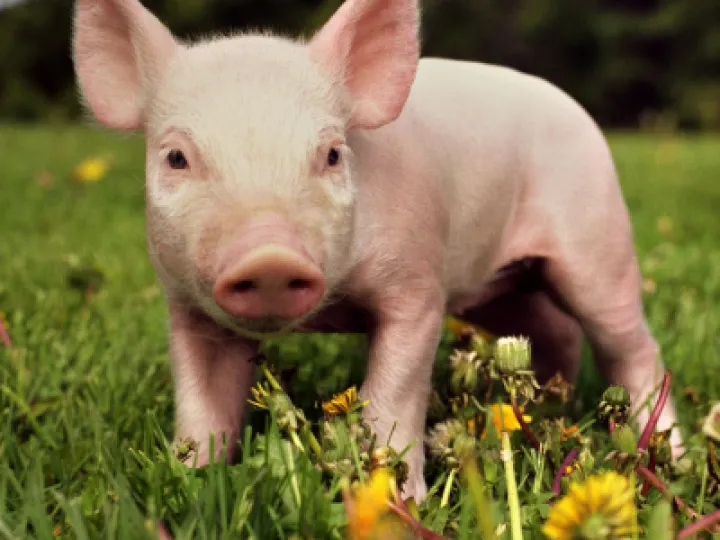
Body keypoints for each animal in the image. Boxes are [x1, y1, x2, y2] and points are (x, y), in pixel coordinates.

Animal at [72, 0, 682, 501]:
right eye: (176, 157)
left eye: (332, 154)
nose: (269, 257)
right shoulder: (187, 307)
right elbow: (202, 404)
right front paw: (193, 482)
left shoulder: (418, 285)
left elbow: (394, 389)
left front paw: (398, 498)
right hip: (504, 288)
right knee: (552, 332)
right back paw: (541, 414)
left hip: (598, 242)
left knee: (630, 345)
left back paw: (667, 452)